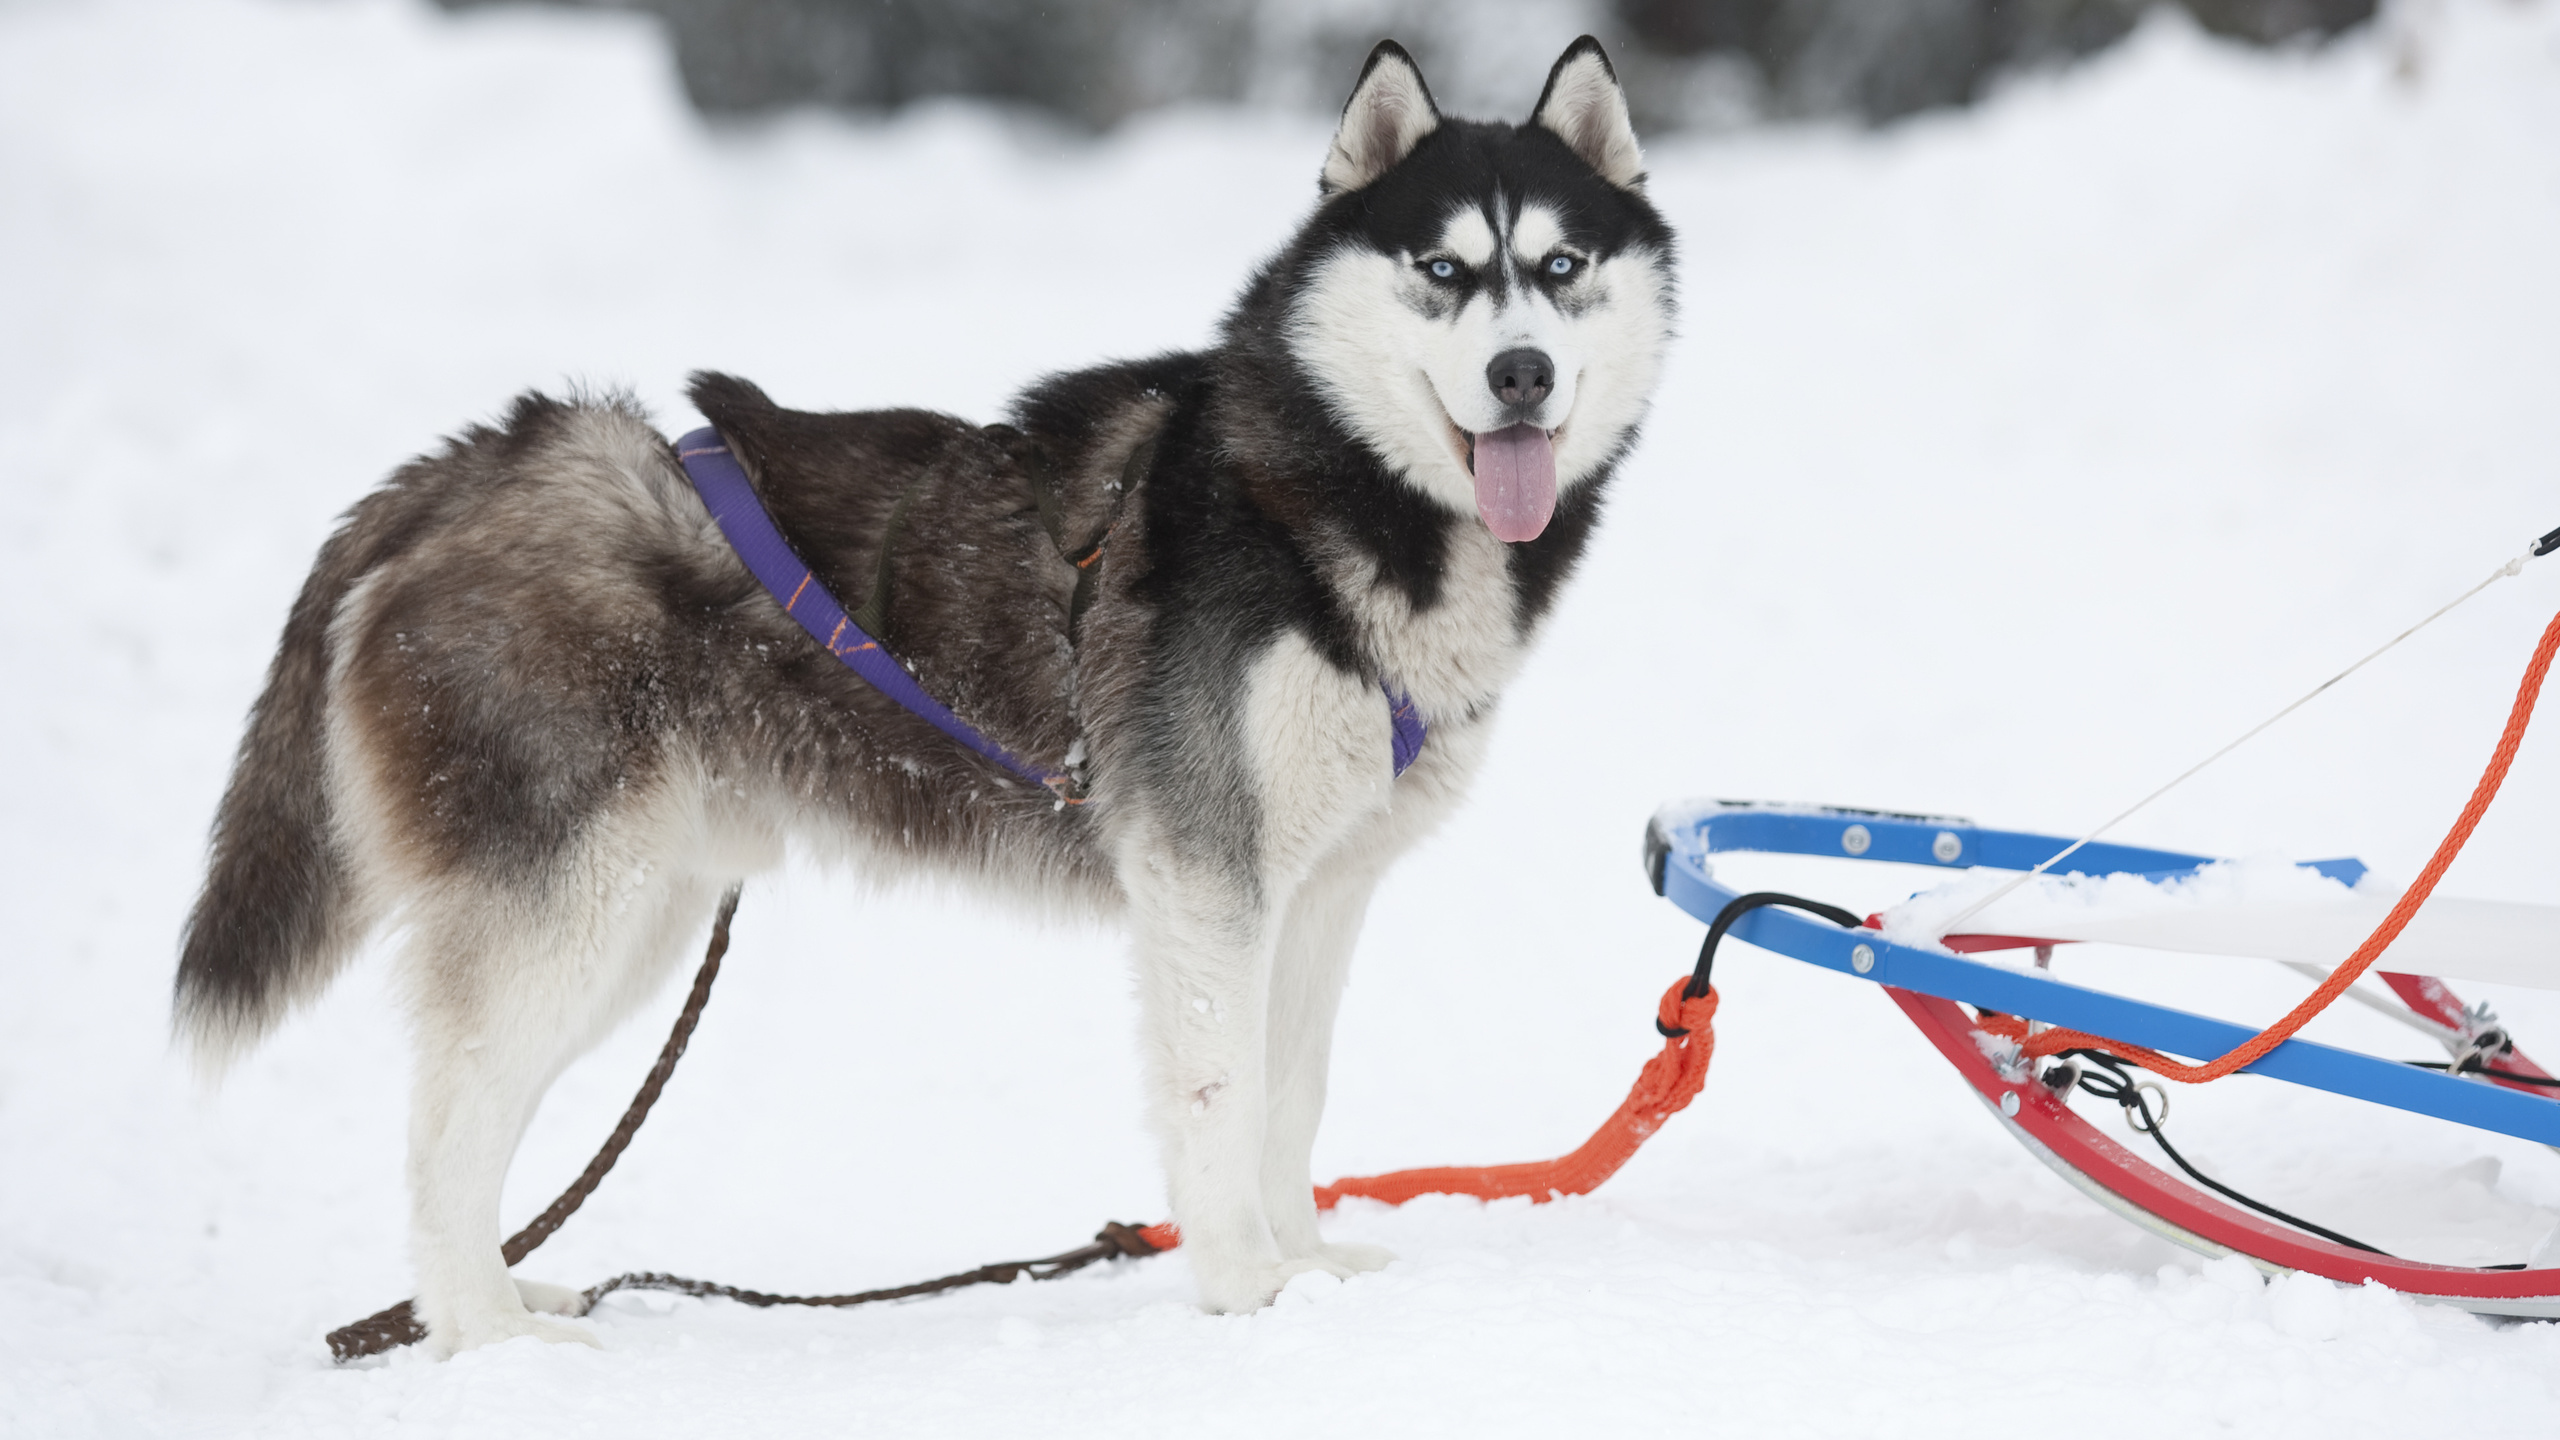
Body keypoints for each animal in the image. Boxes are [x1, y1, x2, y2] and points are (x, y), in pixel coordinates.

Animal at [170, 39, 1669, 1352]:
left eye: (1560, 267)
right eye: (1442, 270)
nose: (1521, 371)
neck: (1320, 492)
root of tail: (474, 465)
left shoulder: (1318, 890)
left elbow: (1290, 1096)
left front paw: (1302, 1268)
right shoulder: (1206, 876)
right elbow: (1222, 1091)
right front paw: (1245, 1286)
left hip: (638, 913)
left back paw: (500, 1295)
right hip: (571, 906)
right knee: (445, 1123)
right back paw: (484, 1335)